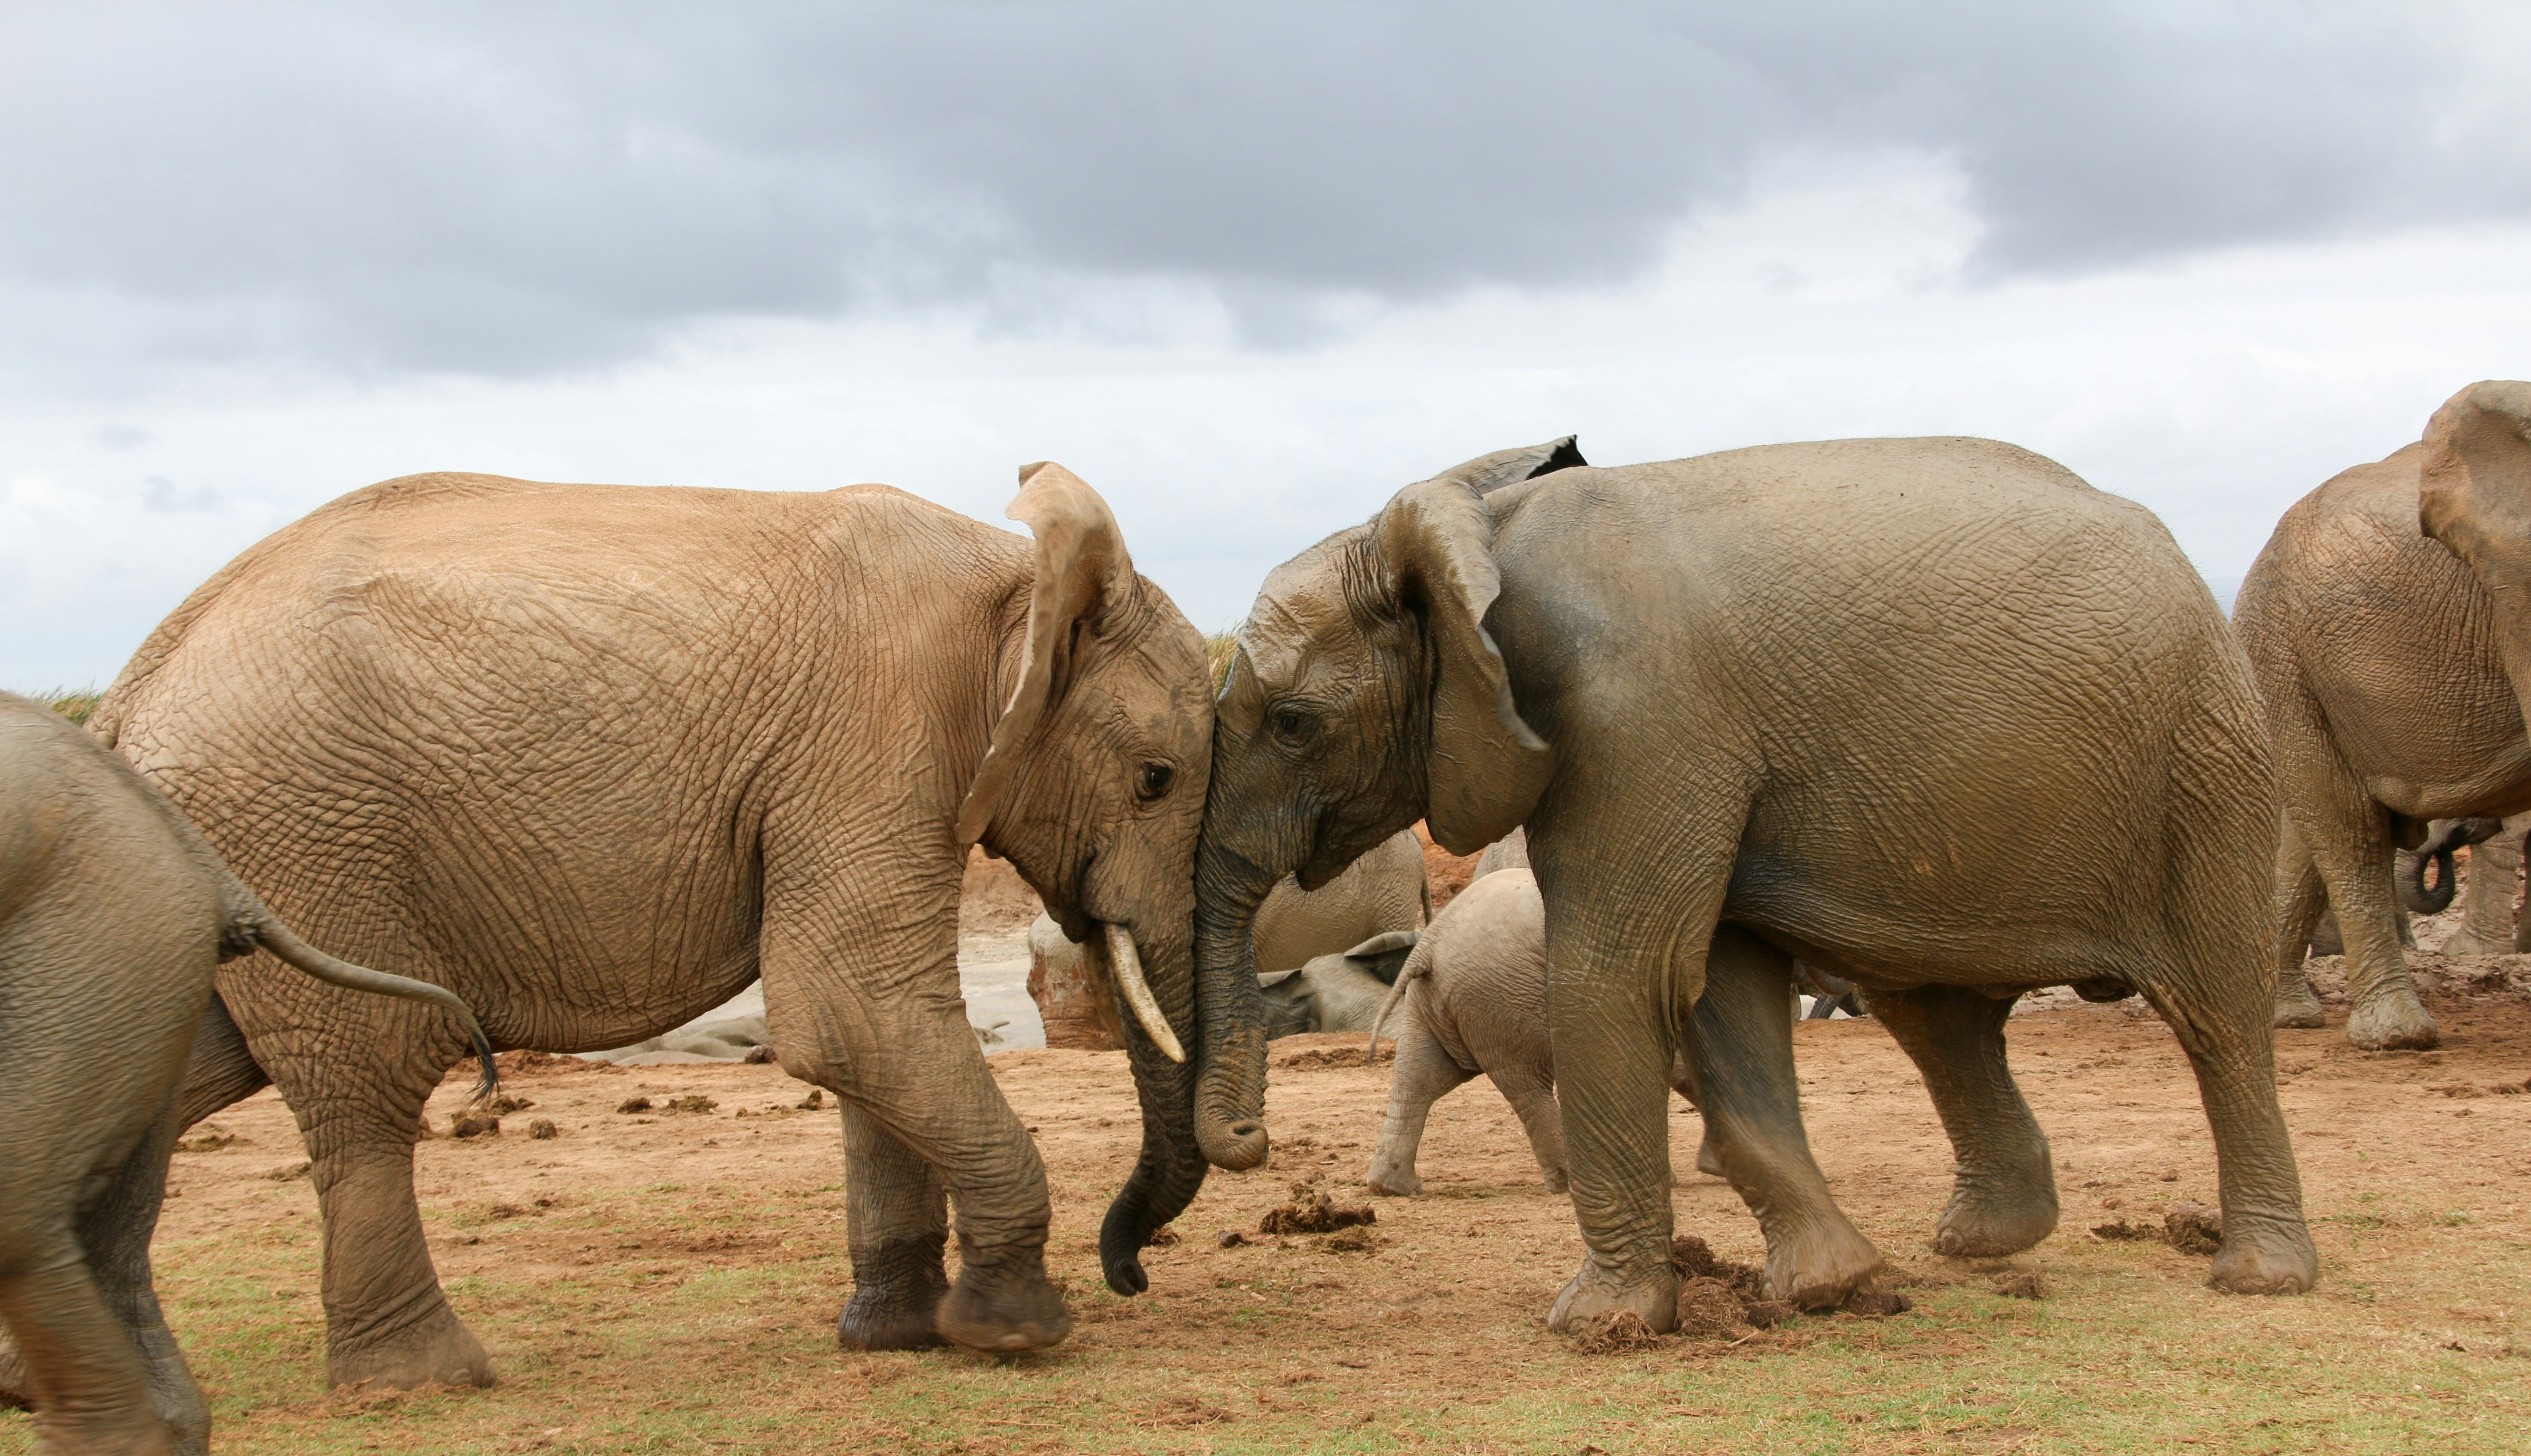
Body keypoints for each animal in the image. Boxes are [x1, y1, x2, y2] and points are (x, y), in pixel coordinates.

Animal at [79, 458, 1225, 1388]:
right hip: (308, 832)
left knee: (192, 1068)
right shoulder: (878, 732)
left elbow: (870, 1030)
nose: (1130, 1276)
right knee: (365, 1080)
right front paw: (1012, 1332)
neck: (1017, 581)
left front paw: (899, 1335)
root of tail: (128, 691)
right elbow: (851, 1010)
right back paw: (425, 1378)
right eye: (1156, 780)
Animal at [1367, 876, 1701, 1195]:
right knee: (1528, 1087)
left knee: (1419, 1079)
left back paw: (1391, 1187)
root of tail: (1428, 945)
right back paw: (1571, 1184)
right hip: (1503, 994)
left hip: (1435, 1001)